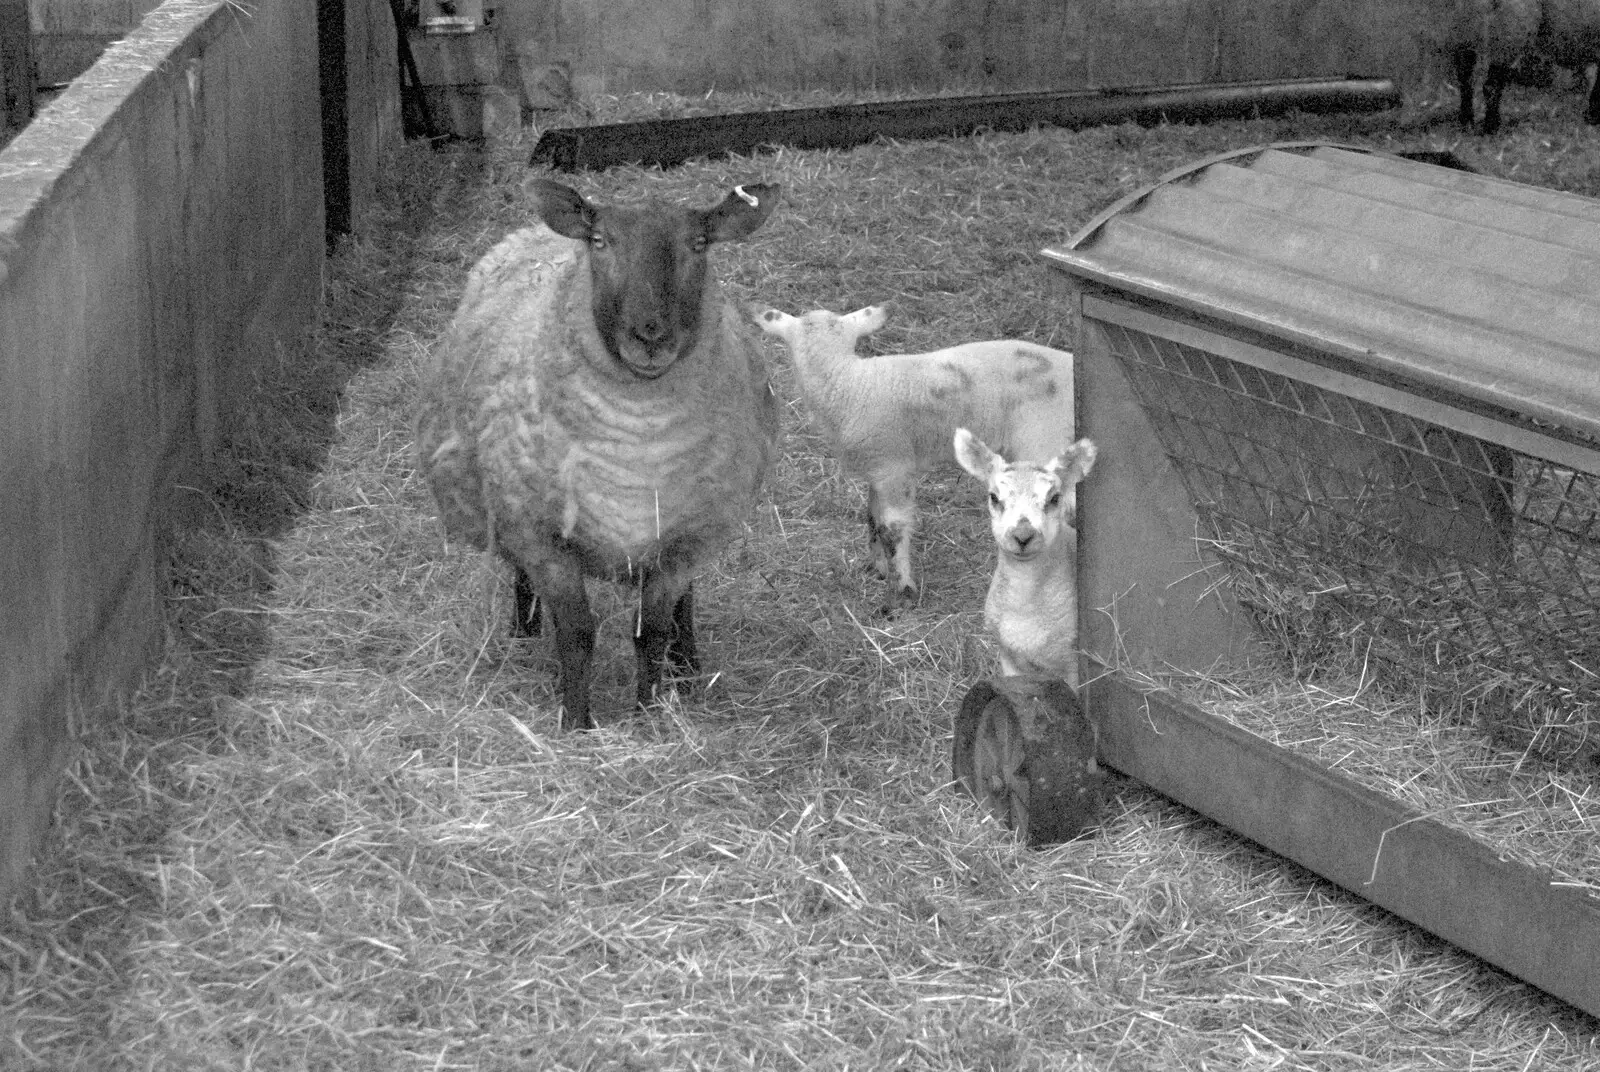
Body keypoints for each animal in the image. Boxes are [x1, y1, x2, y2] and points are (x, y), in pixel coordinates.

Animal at [416, 178, 784, 729]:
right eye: (599, 241)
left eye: (699, 244)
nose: (650, 335)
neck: (638, 435)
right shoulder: (543, 536)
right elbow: (576, 633)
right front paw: (576, 722)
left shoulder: (683, 540)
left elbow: (651, 633)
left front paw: (648, 715)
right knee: (521, 574)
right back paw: (524, 634)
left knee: (686, 603)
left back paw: (688, 666)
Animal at [752, 307, 1075, 617]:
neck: (847, 383)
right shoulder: (878, 467)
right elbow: (872, 516)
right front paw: (878, 568)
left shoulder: (893, 466)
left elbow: (892, 528)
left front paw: (901, 592)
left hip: (1042, 439)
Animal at [947, 425, 1100, 688]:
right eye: (994, 497)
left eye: (1054, 498)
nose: (1023, 536)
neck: (1024, 611)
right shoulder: (1008, 657)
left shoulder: (1072, 664)